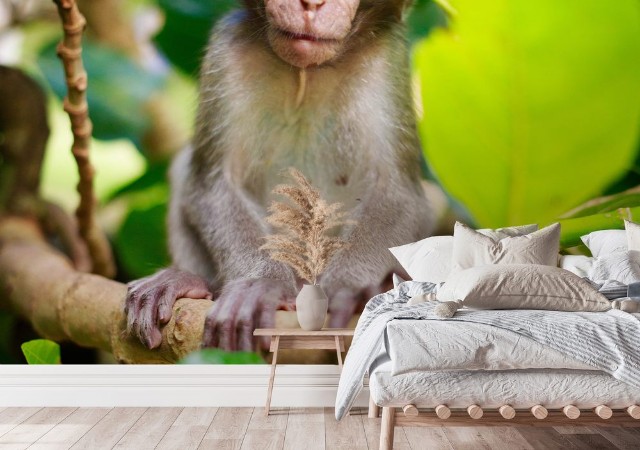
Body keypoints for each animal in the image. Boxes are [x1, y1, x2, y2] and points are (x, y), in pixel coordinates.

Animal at [125, 0, 434, 351]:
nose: (311, 5)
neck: (306, 74)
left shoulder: (387, 61)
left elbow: (400, 195)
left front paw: (350, 288)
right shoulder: (226, 51)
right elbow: (211, 185)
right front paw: (260, 283)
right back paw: (186, 281)